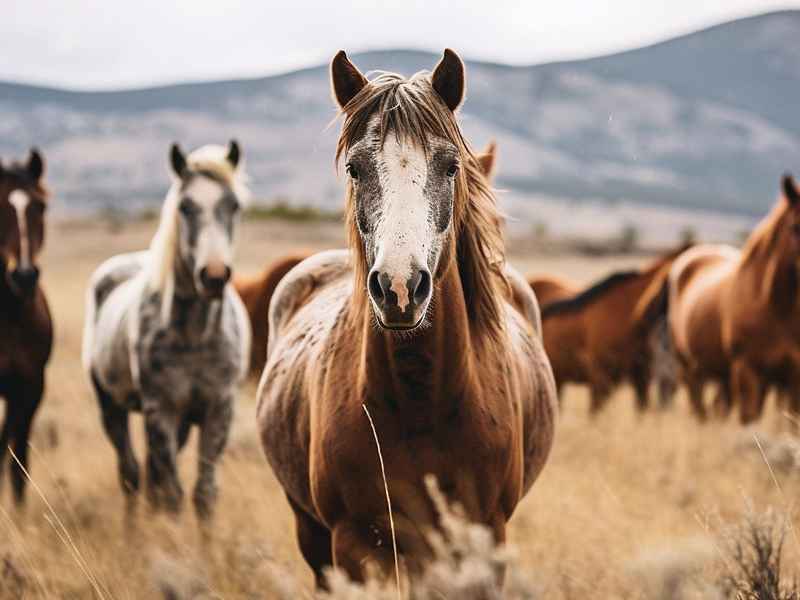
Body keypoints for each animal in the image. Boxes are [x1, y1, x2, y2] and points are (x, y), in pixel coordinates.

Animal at [82, 141, 251, 521]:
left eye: (233, 204)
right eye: (185, 206)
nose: (214, 276)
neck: (196, 335)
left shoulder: (218, 410)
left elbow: (204, 493)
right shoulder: (162, 410)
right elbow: (173, 493)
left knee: (149, 474)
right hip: (111, 408)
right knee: (131, 474)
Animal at [663, 175, 800, 423]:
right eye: (795, 226)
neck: (777, 307)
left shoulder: (793, 377)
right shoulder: (747, 371)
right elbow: (749, 419)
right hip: (689, 368)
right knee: (699, 408)